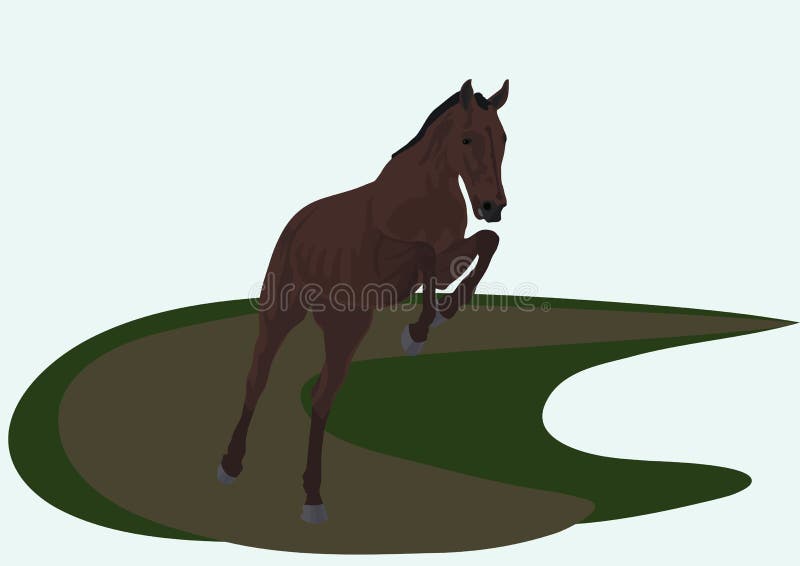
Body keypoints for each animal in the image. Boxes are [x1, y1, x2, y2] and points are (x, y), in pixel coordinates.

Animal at [218, 79, 511, 524]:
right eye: (467, 138)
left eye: (503, 138)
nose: (492, 207)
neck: (421, 197)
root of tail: (296, 225)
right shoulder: (405, 261)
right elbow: (425, 254)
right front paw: (417, 332)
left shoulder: (449, 258)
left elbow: (483, 244)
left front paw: (440, 316)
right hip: (290, 317)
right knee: (262, 381)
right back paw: (245, 472)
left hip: (342, 329)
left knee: (321, 398)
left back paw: (308, 493)